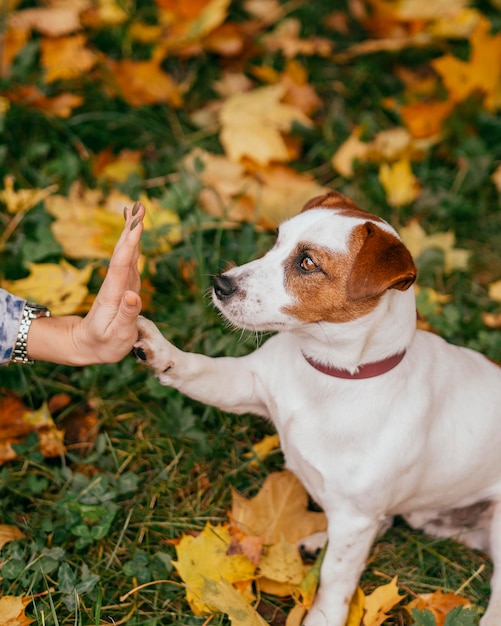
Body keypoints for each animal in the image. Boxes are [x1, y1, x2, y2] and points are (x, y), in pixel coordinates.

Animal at [134, 191, 501, 624]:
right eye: (277, 241)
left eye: (307, 263)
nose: (220, 284)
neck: (330, 375)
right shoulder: (246, 384)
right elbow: (195, 368)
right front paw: (158, 349)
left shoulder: (356, 520)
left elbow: (336, 579)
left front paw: (322, 615)